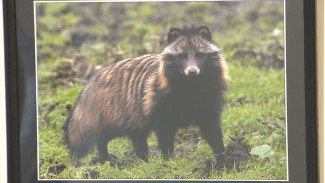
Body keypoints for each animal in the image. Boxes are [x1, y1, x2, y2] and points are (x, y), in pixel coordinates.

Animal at [62, 24, 228, 164]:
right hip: (118, 111)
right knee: (106, 134)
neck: (192, 85)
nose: (192, 71)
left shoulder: (208, 102)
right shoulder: (159, 103)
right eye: (182, 55)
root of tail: (93, 79)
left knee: (132, 136)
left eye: (199, 54)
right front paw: (168, 160)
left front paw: (222, 155)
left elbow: (212, 129)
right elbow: (164, 134)